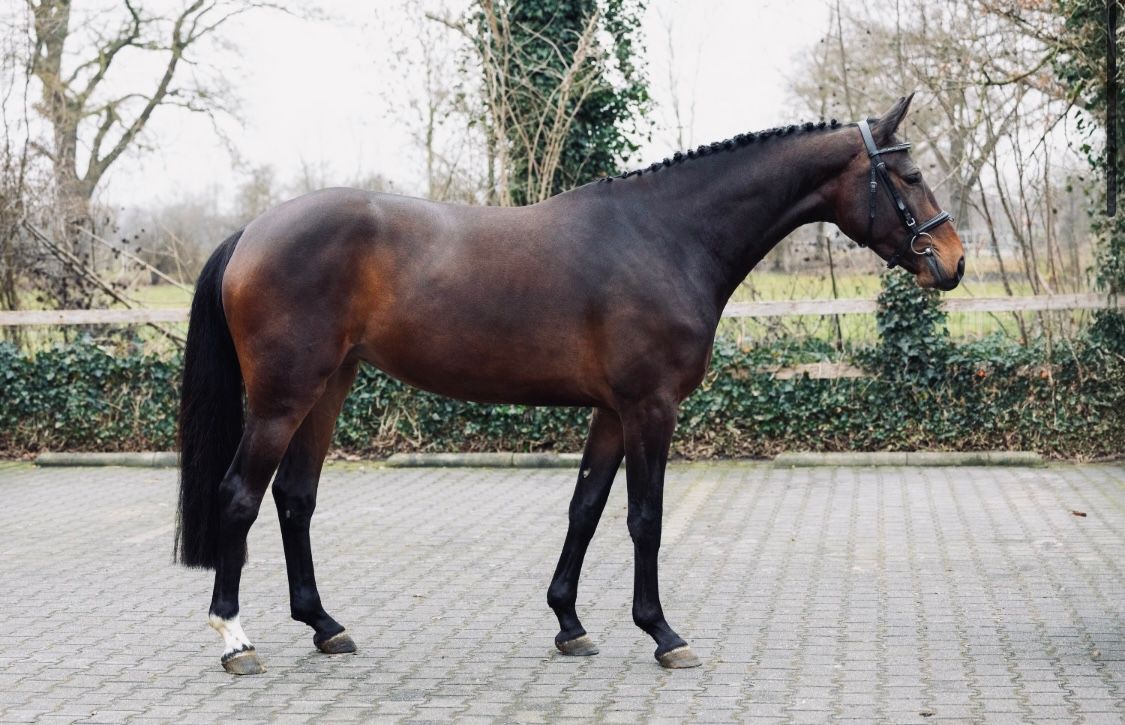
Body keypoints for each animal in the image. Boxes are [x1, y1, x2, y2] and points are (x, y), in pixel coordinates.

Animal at [175, 93, 964, 675]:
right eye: (909, 175)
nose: (953, 260)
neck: (665, 236)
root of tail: (252, 232)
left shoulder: (611, 413)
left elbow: (585, 510)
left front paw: (569, 623)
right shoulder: (650, 409)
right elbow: (644, 518)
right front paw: (663, 634)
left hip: (328, 387)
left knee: (295, 498)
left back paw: (324, 625)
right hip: (283, 396)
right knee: (240, 497)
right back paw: (235, 639)